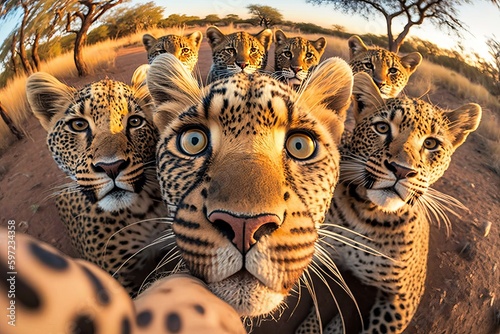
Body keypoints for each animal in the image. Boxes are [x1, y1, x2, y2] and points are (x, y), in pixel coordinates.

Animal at [294, 72, 482, 332]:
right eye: (382, 128)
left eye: (431, 144)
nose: (401, 170)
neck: (367, 215)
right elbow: (320, 302)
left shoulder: (405, 296)